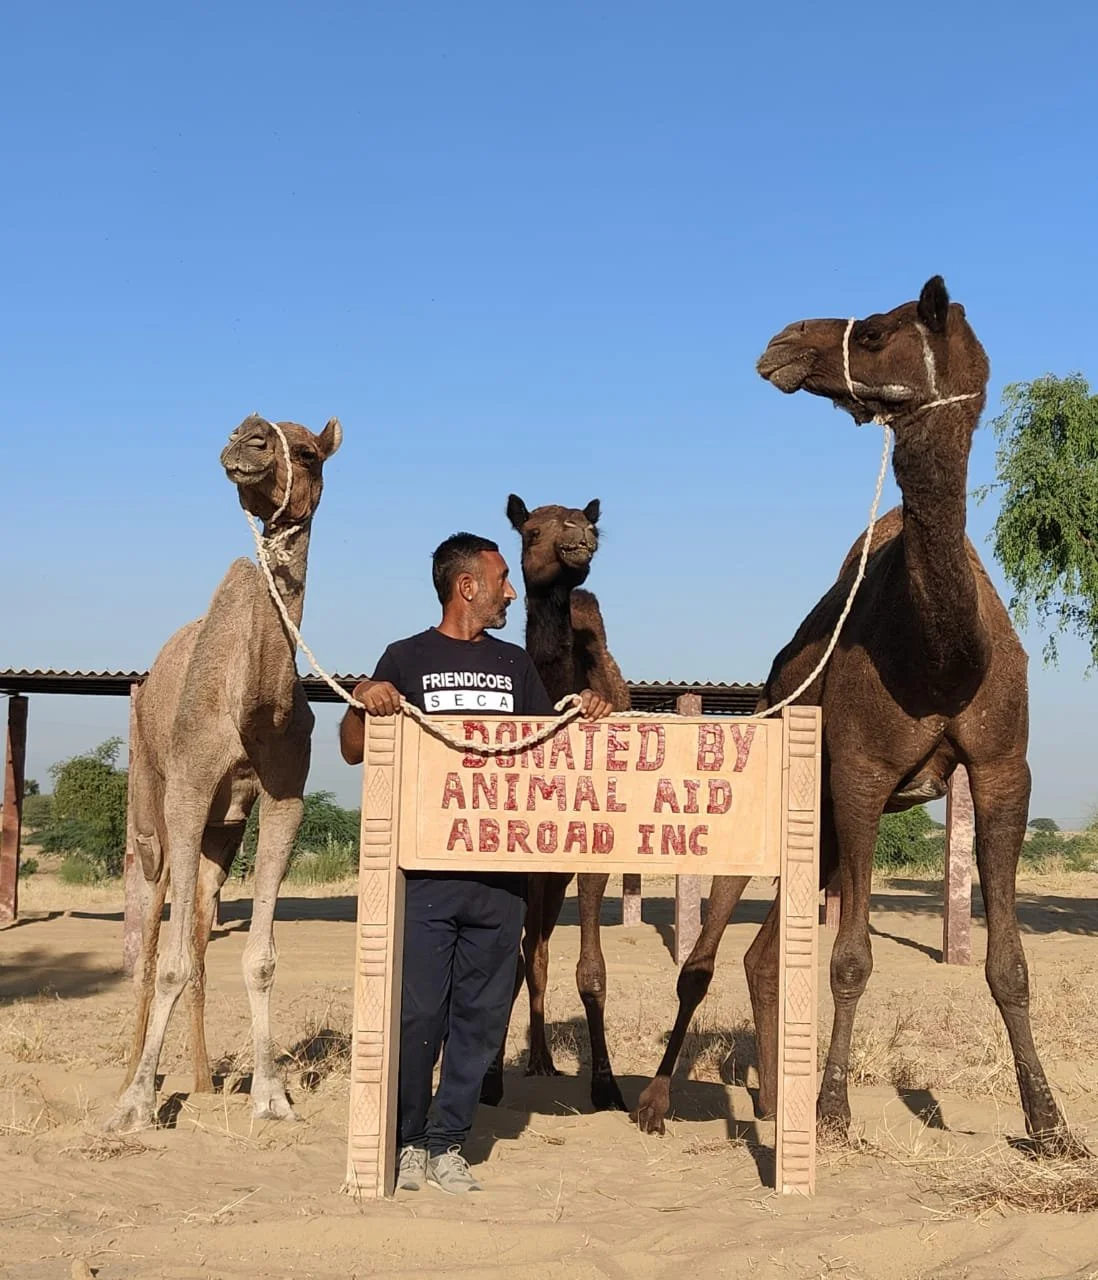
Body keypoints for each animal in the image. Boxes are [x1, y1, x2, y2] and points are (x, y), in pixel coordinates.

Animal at [105, 413, 342, 1132]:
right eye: (250, 432)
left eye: (310, 453)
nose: (248, 438)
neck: (247, 706)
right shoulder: (187, 786)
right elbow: (169, 962)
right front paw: (138, 1105)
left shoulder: (285, 795)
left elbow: (258, 956)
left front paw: (269, 1095)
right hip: (150, 803)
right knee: (149, 931)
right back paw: (130, 1078)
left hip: (220, 832)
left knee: (200, 929)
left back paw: (205, 1080)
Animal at [633, 276, 1085, 1159]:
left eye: (875, 332)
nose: (781, 342)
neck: (944, 656)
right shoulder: (863, 774)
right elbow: (848, 960)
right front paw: (834, 1112)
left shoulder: (1002, 771)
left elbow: (1008, 965)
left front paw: (1049, 1126)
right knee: (704, 956)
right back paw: (659, 1102)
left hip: (822, 827)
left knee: (762, 957)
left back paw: (770, 1103)